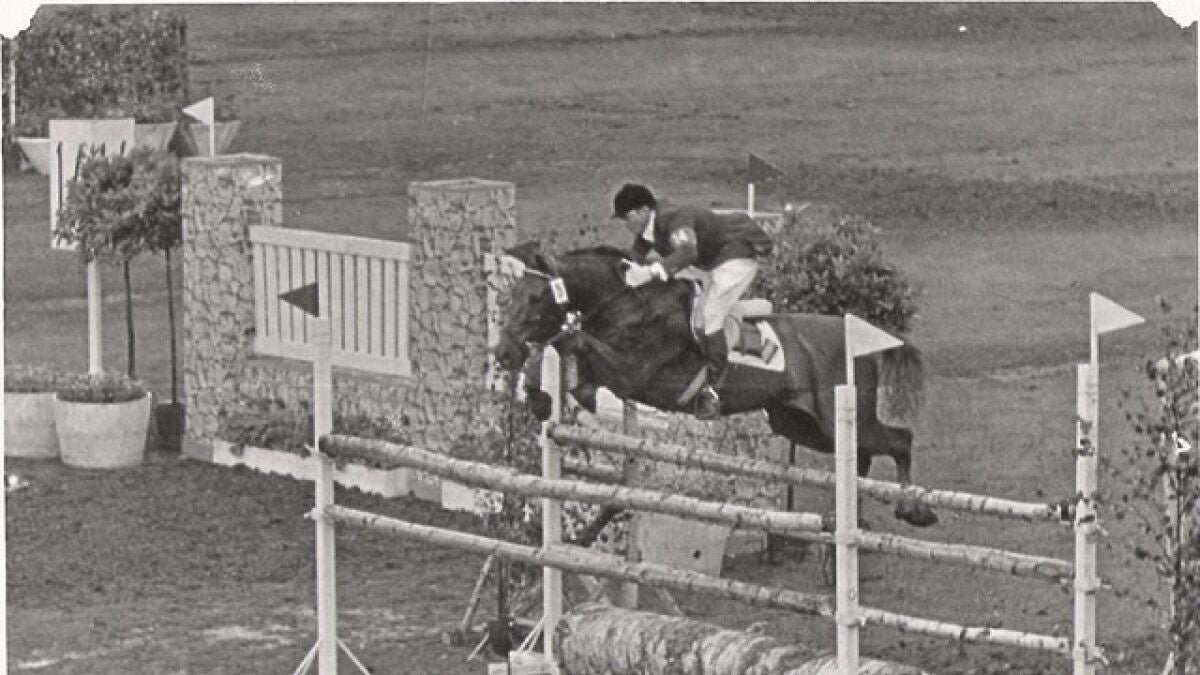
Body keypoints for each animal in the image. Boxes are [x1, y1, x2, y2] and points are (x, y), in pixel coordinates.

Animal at [493, 242, 936, 528]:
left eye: (534, 298)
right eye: (512, 294)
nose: (503, 353)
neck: (626, 302)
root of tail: (866, 344)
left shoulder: (632, 373)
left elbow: (573, 342)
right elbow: (567, 360)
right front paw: (538, 397)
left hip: (831, 418)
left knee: (898, 441)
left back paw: (915, 510)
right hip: (799, 424)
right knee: (862, 453)